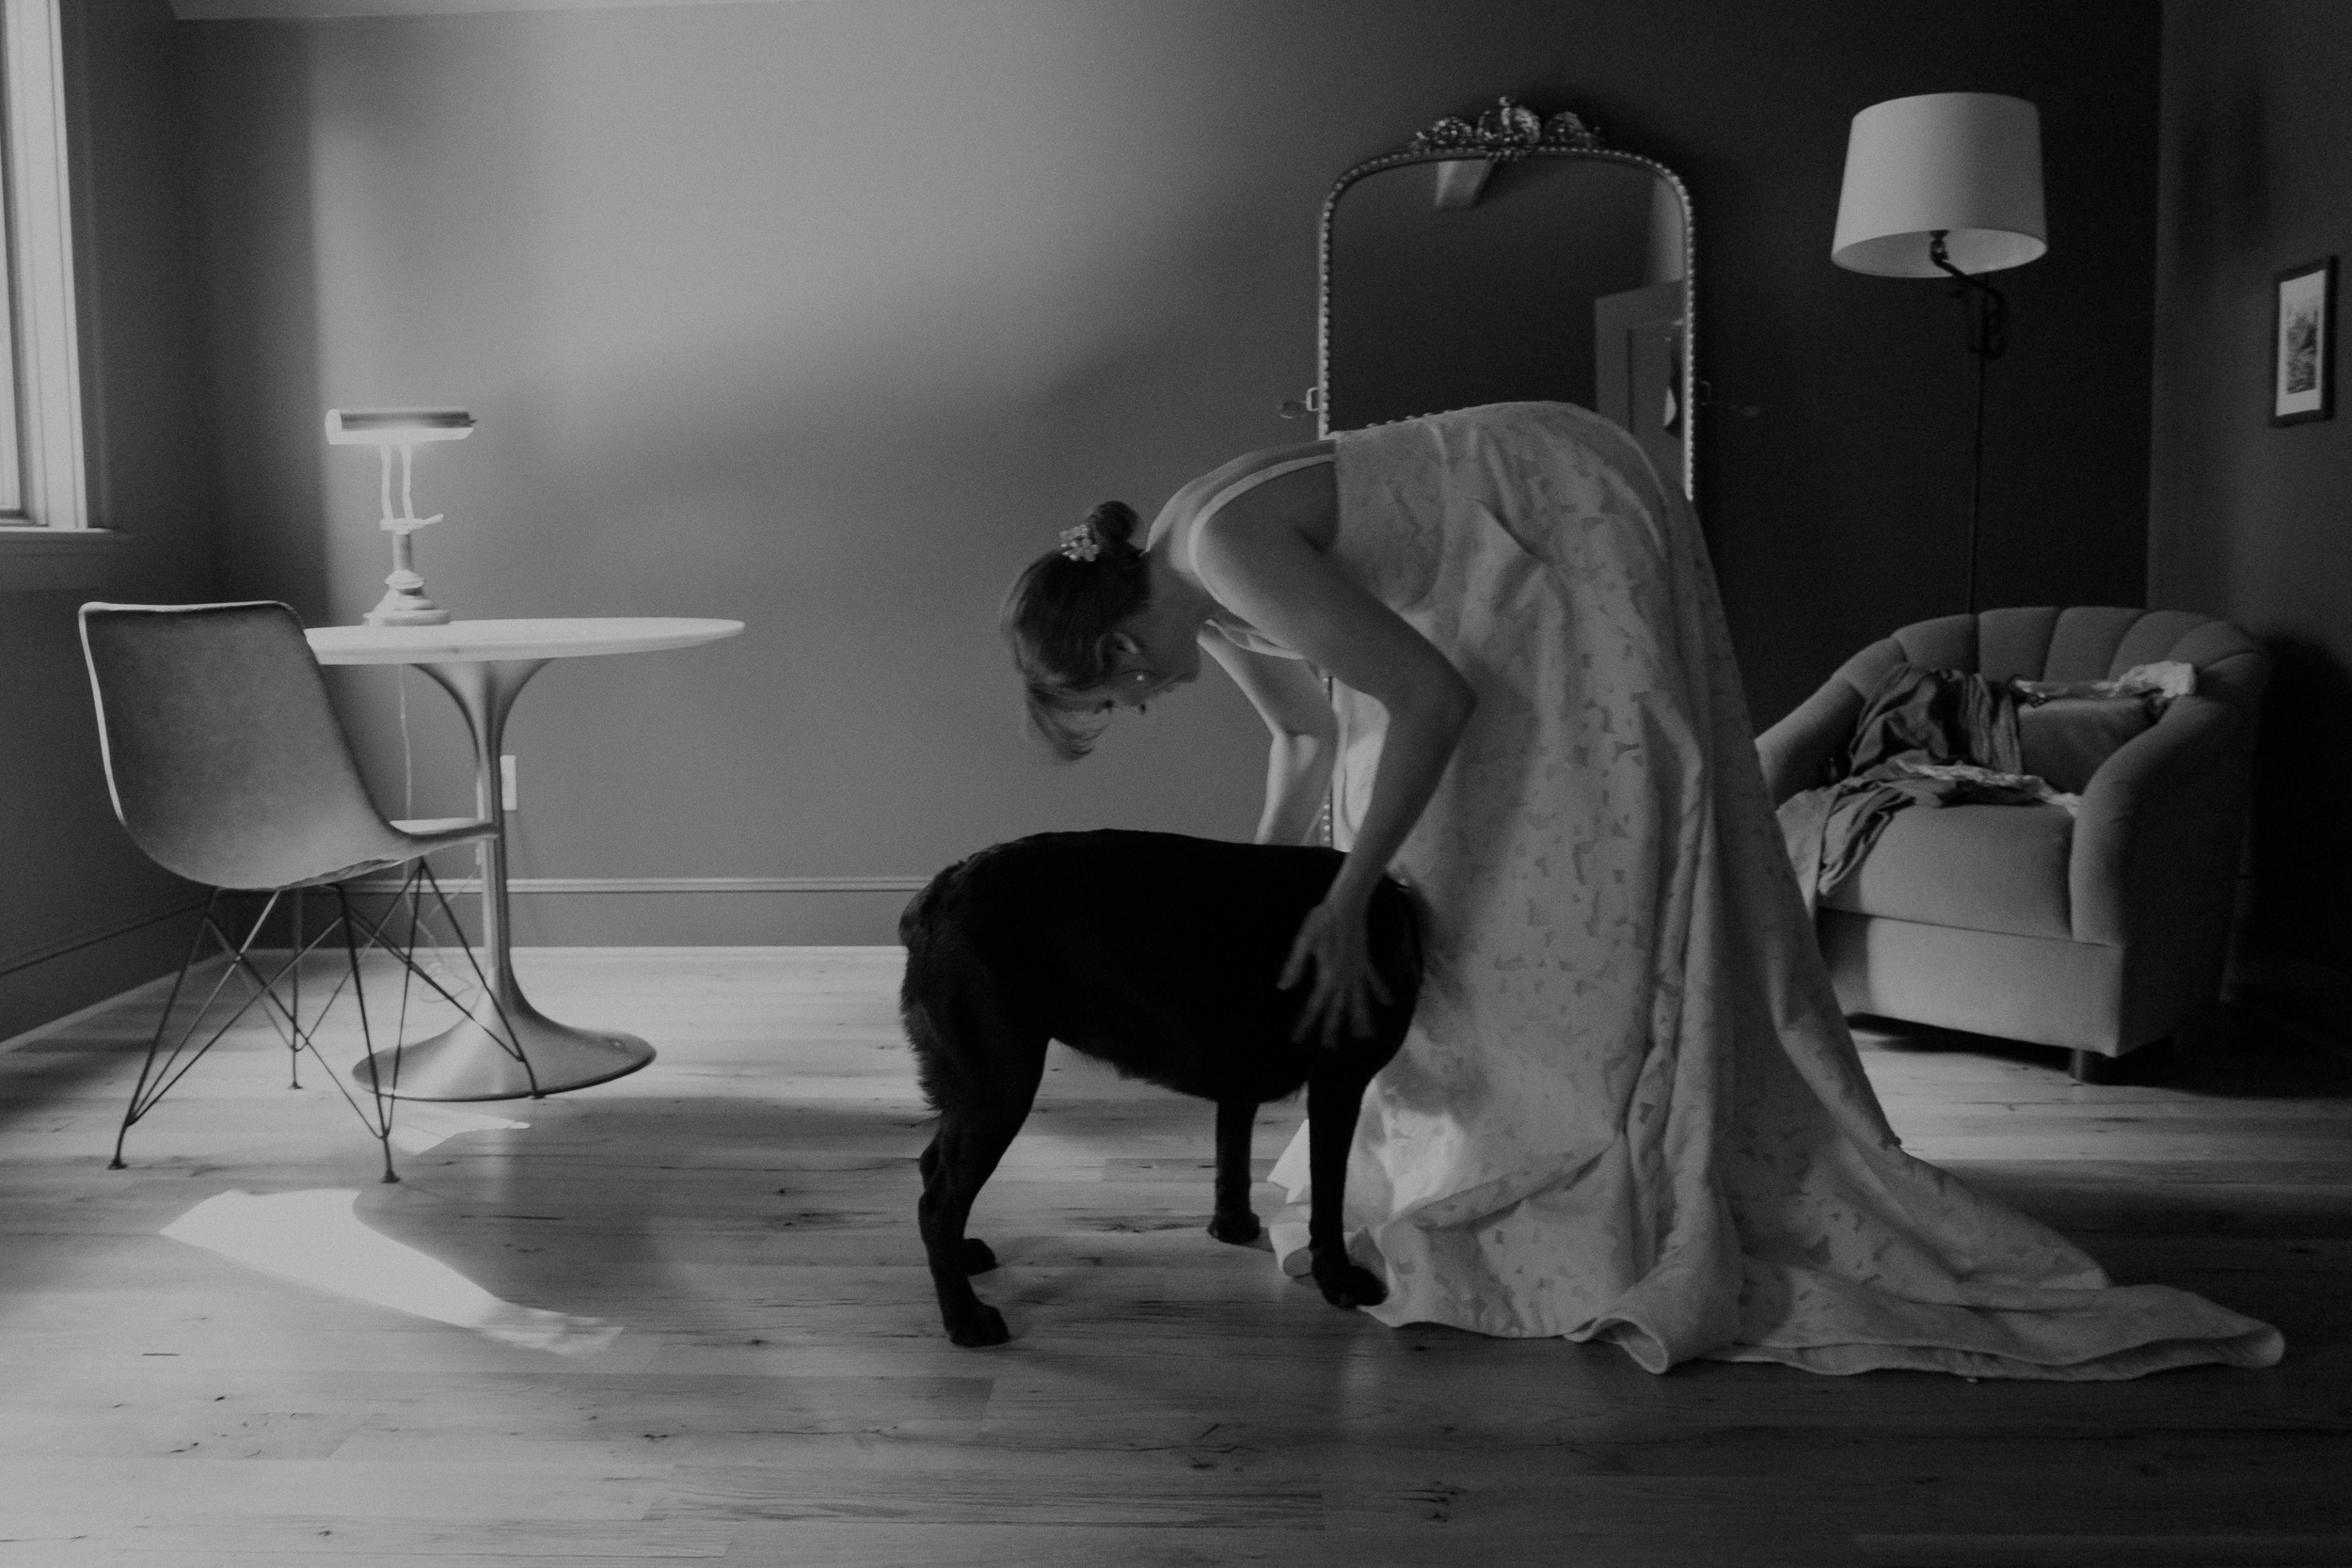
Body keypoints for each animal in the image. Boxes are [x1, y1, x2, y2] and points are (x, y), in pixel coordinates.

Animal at [894, 832, 1411, 1354]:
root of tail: (941, 890)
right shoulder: (1338, 1081)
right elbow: (1328, 1194)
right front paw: (1338, 1278)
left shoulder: (1240, 1081)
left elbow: (1233, 1157)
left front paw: (1232, 1227)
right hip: (1000, 1086)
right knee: (937, 1205)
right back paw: (966, 1318)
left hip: (973, 1087)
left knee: (933, 1167)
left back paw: (962, 1257)